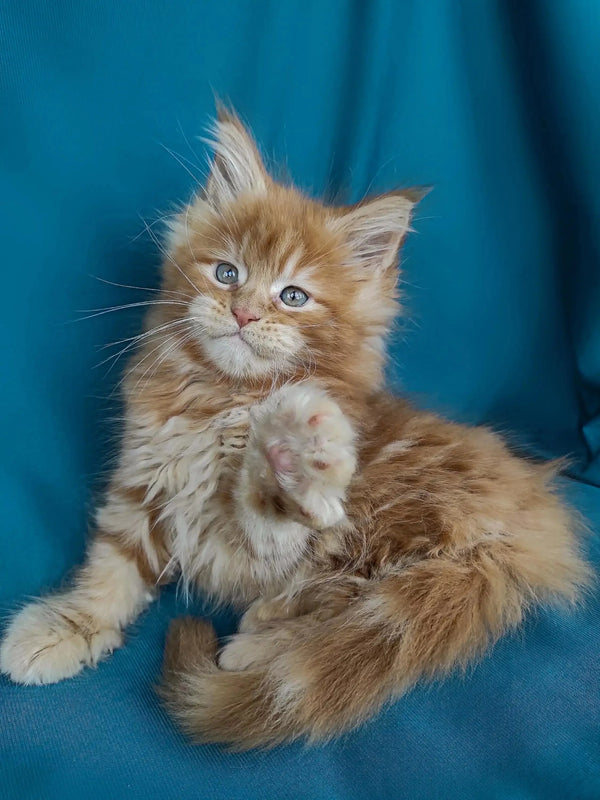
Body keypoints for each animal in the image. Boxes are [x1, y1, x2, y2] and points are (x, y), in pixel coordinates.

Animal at [0, 106, 592, 752]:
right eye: (226, 272)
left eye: (293, 296)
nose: (243, 313)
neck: (219, 398)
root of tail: (529, 519)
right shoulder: (144, 483)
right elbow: (112, 568)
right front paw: (69, 627)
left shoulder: (262, 547)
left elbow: (268, 518)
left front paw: (291, 452)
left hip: (386, 515)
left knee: (357, 599)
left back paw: (259, 640)